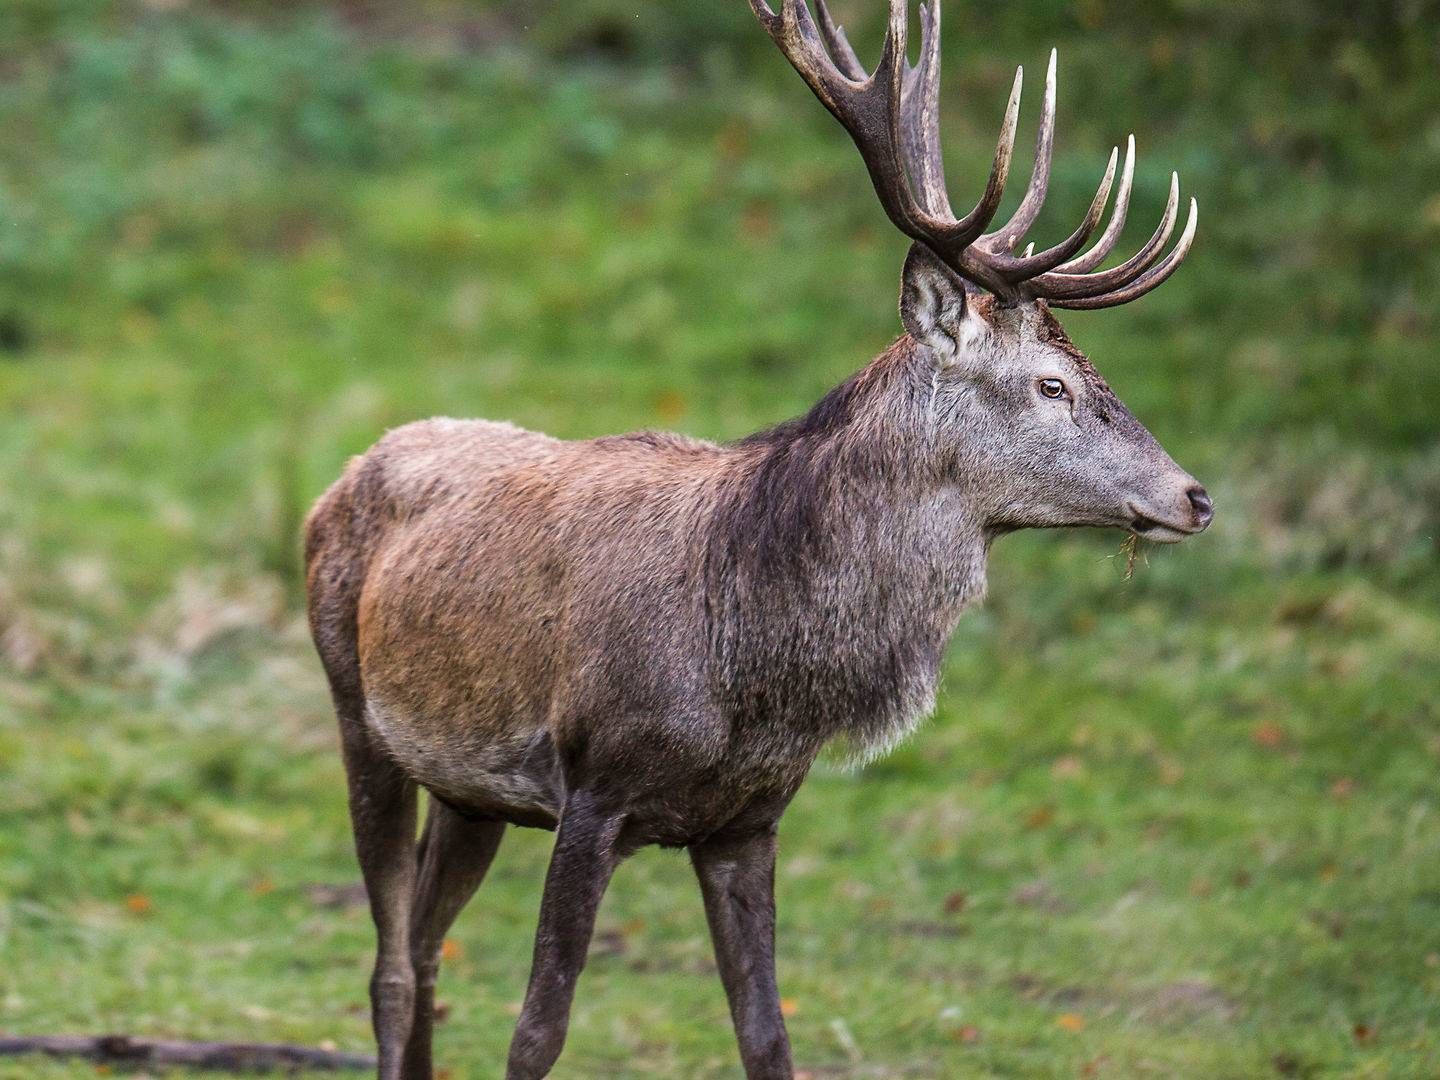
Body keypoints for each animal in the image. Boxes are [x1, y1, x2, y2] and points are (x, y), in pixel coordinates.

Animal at [303, 2, 1215, 1080]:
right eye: (1052, 385)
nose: (1195, 496)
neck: (755, 668)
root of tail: (346, 472)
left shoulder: (749, 820)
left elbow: (767, 1032)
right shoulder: (593, 789)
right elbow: (537, 1030)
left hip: (470, 788)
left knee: (425, 944)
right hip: (356, 712)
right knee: (393, 965)